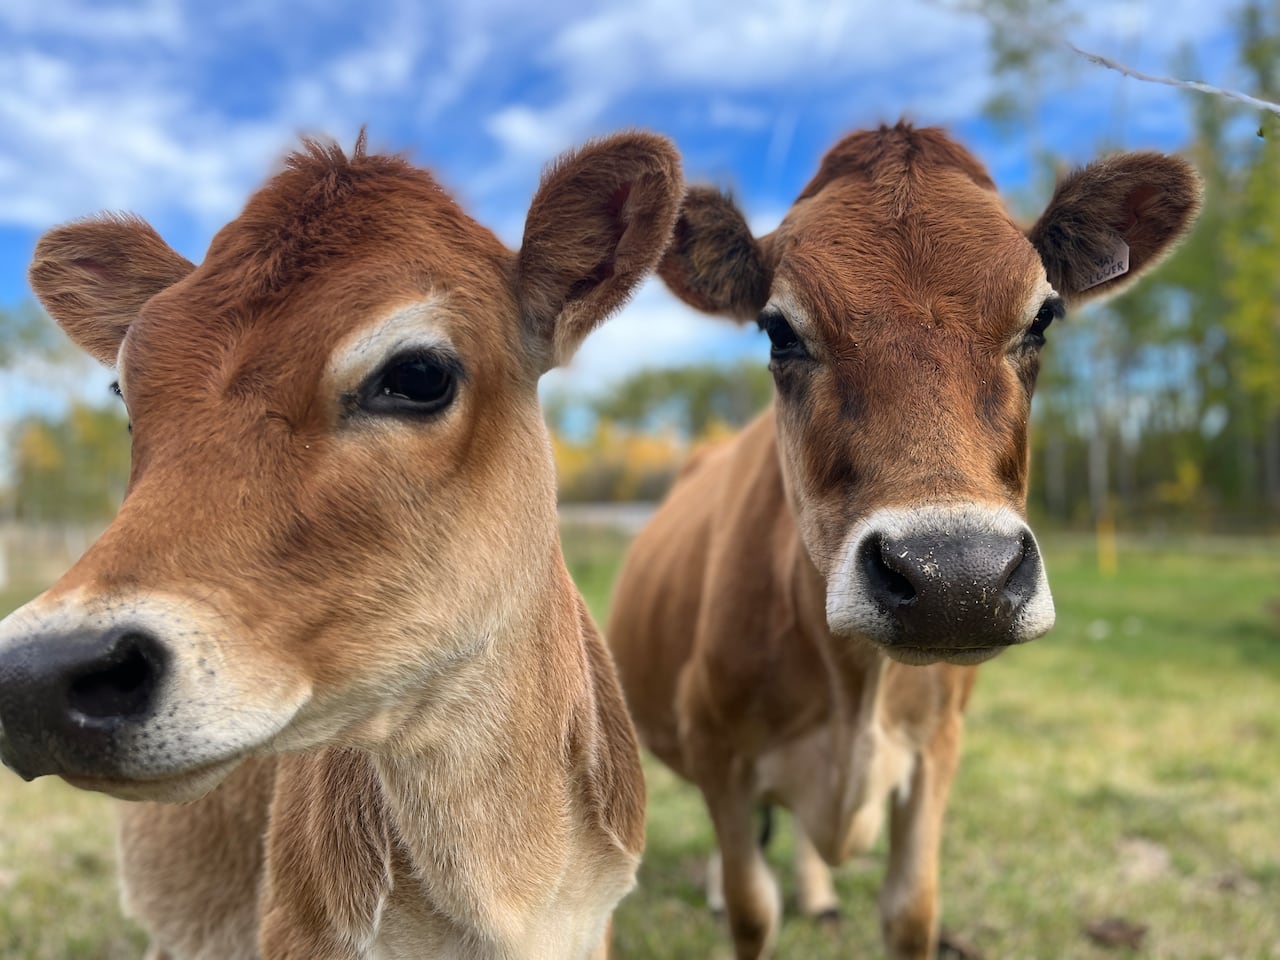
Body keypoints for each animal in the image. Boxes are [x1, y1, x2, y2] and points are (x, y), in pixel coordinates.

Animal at [609, 122, 1198, 960]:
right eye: (779, 329)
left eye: (1042, 317)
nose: (958, 579)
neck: (856, 687)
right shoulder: (718, 749)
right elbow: (753, 908)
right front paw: (738, 901)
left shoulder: (937, 746)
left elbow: (912, 908)